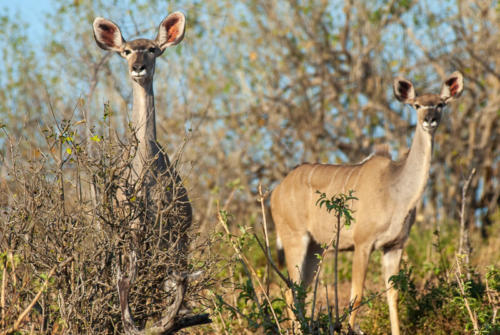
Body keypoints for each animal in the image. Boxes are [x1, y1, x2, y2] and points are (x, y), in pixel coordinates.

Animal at [272, 72, 462, 334]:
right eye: (416, 105)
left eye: (441, 104)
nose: (430, 120)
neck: (395, 190)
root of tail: (275, 192)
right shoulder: (362, 244)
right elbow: (357, 295)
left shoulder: (394, 247)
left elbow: (393, 295)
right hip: (295, 240)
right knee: (291, 291)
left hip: (315, 247)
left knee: (299, 292)